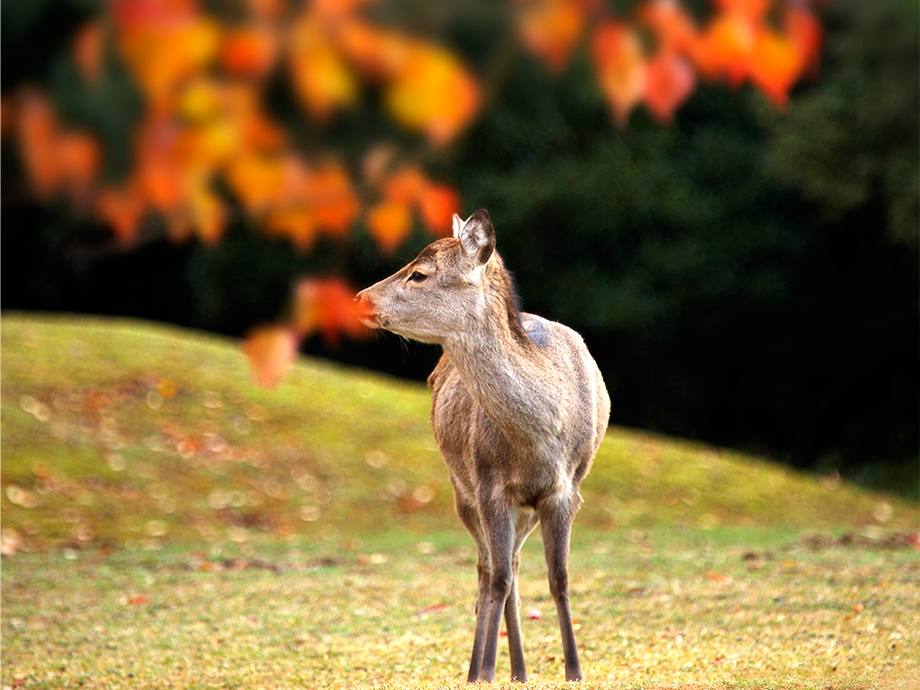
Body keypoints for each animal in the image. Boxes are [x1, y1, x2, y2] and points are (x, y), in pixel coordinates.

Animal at [358, 207, 612, 680]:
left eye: (419, 273)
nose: (359, 299)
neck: (540, 440)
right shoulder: (490, 486)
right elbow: (497, 578)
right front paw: (485, 672)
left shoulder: (567, 490)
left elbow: (560, 577)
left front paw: (574, 670)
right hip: (462, 490)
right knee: (488, 567)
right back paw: (490, 668)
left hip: (522, 508)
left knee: (510, 563)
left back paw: (521, 670)